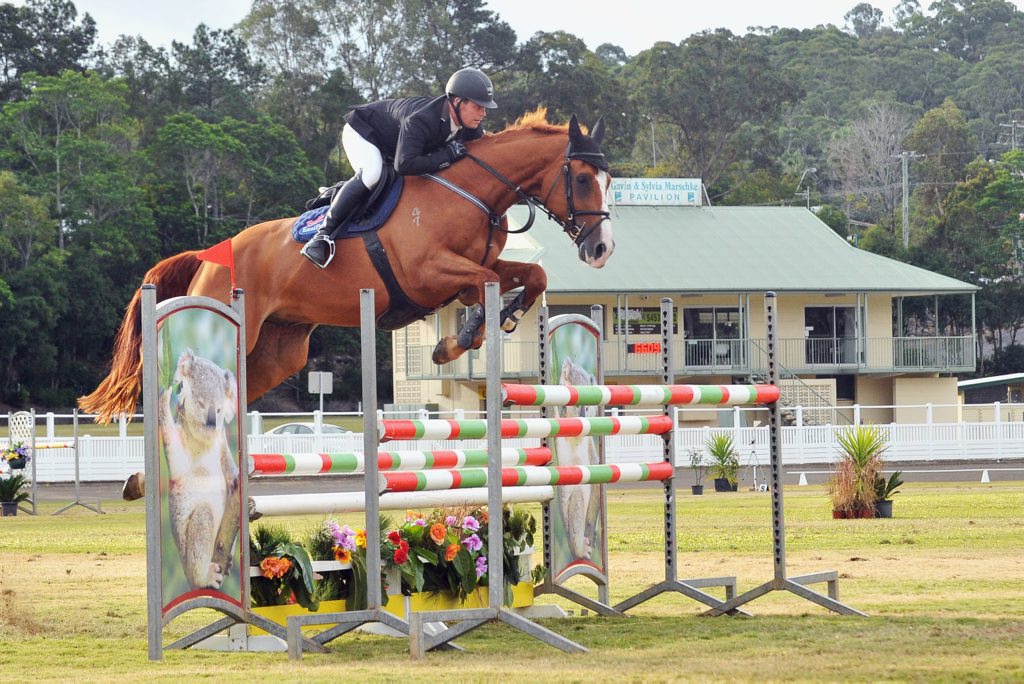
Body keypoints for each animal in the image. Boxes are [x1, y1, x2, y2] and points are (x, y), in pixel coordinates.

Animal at [78, 109, 615, 424]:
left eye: (609, 179)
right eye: (582, 179)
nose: (602, 250)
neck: (470, 190)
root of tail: (211, 255)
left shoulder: (475, 266)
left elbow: (531, 276)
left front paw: (501, 317)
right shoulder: (428, 273)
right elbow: (481, 284)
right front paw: (455, 341)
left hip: (280, 351)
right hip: (237, 325)